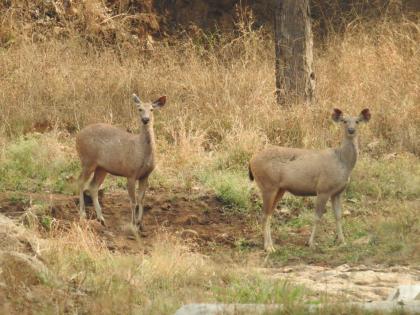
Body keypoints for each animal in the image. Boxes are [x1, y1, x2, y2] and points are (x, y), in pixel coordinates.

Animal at [76, 94, 167, 230]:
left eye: (152, 109)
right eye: (139, 109)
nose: (145, 119)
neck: (142, 152)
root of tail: (77, 136)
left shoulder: (145, 175)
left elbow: (141, 199)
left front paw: (140, 223)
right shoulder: (131, 173)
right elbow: (133, 201)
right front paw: (133, 225)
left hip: (102, 168)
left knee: (93, 186)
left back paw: (101, 218)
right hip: (88, 160)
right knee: (81, 182)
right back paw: (83, 214)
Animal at [249, 108, 370, 252]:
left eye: (357, 121)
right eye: (344, 120)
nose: (351, 130)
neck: (343, 163)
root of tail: (251, 160)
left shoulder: (338, 192)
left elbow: (338, 216)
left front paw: (342, 241)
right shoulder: (323, 188)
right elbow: (317, 217)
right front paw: (311, 243)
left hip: (279, 188)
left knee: (269, 214)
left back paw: (270, 245)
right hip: (268, 184)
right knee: (264, 214)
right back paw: (268, 247)